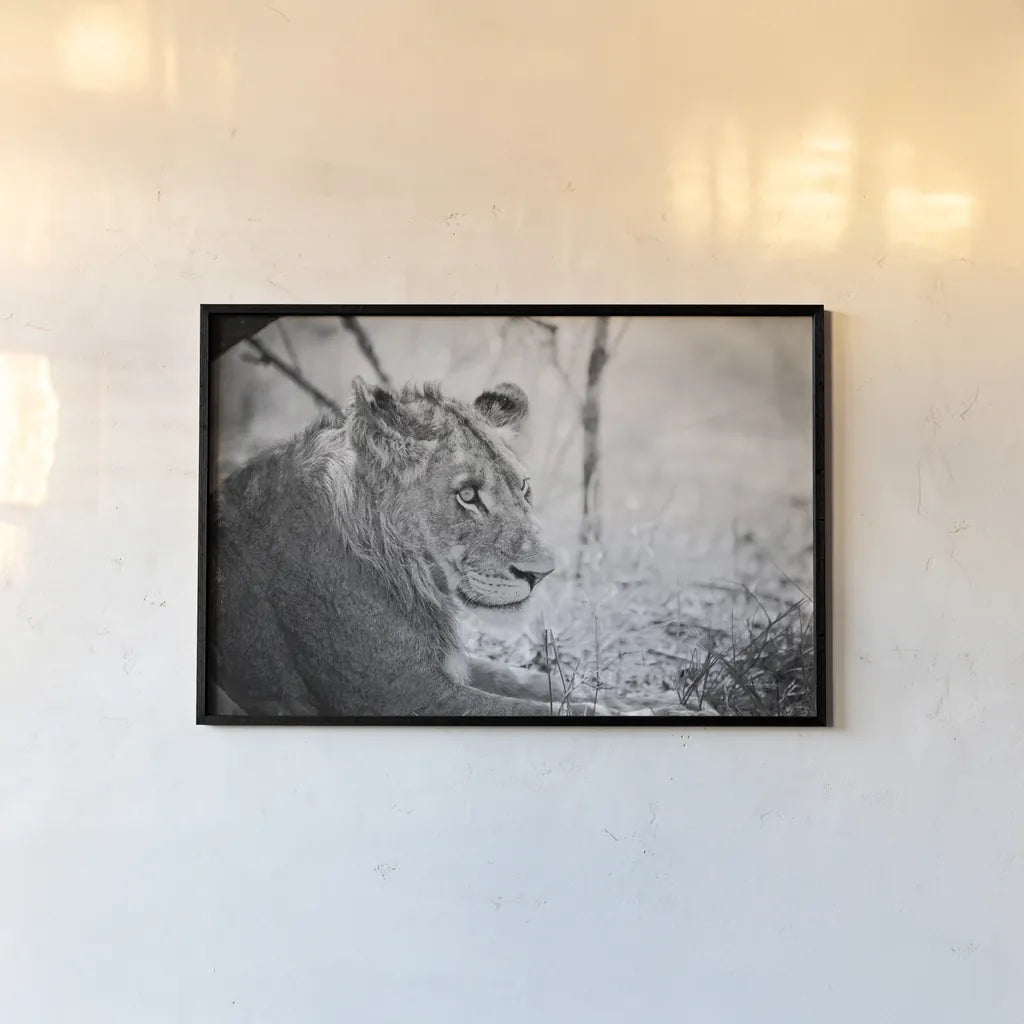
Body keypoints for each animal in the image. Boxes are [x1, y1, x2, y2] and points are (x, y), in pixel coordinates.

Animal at [209, 376, 626, 717]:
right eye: (468, 495)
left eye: (523, 488)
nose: (541, 573)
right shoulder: (404, 694)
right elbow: (533, 708)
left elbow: (519, 678)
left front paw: (619, 698)